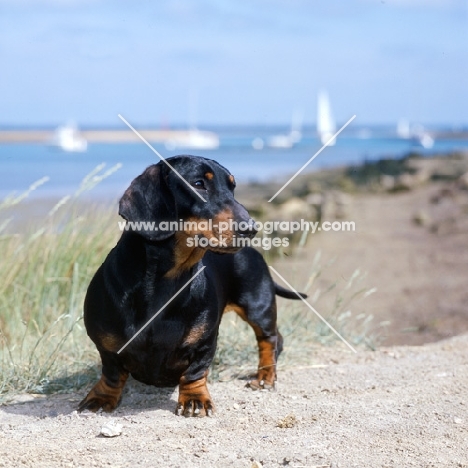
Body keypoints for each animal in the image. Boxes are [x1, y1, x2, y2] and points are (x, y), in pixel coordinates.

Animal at [78, 154, 306, 416]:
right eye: (198, 184)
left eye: (232, 187)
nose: (251, 229)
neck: (166, 282)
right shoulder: (106, 346)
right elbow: (112, 373)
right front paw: (102, 397)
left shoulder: (205, 342)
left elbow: (195, 372)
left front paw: (195, 399)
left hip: (258, 307)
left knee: (269, 339)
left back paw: (265, 376)